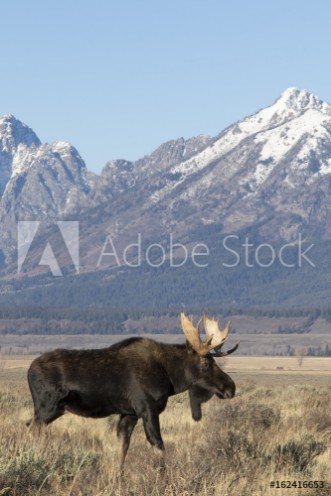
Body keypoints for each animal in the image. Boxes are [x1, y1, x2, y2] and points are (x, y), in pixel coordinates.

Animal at [26, 314, 239, 468]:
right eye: (205, 363)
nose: (231, 387)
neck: (170, 377)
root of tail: (29, 370)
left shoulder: (129, 414)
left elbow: (122, 451)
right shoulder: (148, 410)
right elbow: (159, 446)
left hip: (50, 410)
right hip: (47, 408)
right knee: (32, 430)